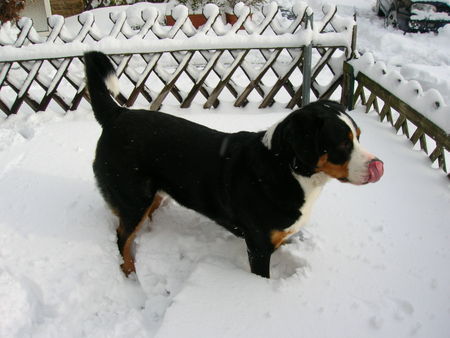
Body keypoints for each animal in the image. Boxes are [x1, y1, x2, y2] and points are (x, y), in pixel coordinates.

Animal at [83, 50, 384, 278]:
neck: (285, 170)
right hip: (133, 198)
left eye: (358, 136)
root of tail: (117, 114)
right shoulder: (259, 246)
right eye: (342, 144)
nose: (378, 163)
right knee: (122, 238)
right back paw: (130, 271)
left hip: (151, 194)